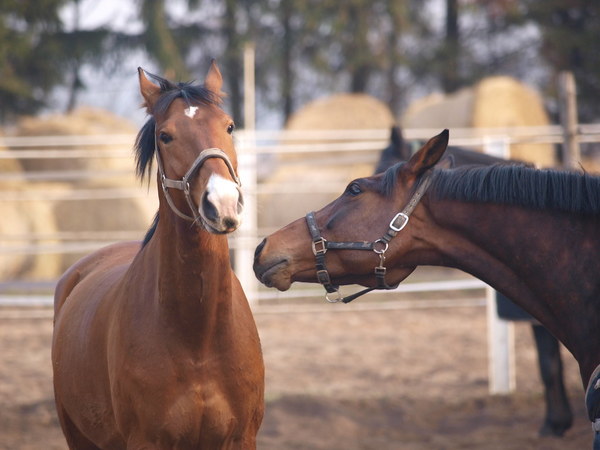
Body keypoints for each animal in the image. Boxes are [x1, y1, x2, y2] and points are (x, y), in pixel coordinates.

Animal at [52, 61, 264, 448]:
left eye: (229, 126)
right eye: (165, 136)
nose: (223, 204)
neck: (198, 338)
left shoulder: (242, 438)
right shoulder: (146, 440)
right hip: (76, 433)